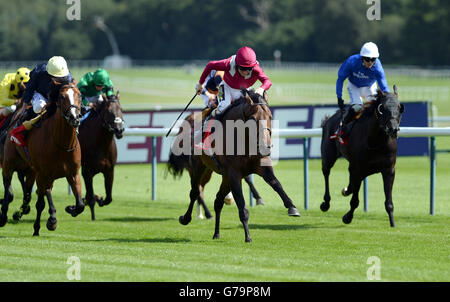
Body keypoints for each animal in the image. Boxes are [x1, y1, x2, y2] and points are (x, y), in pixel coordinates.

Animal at [0, 82, 85, 236]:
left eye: (79, 95)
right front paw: (47, 223)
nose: (74, 117)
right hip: (9, 163)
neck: (61, 144)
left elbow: (80, 204)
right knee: (8, 188)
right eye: (62, 97)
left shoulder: (73, 173)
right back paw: (3, 216)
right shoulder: (43, 173)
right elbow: (40, 202)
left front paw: (70, 208)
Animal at [171, 88, 300, 242]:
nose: (266, 146)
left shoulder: (260, 166)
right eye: (253, 119)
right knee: (195, 191)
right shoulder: (234, 174)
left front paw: (292, 207)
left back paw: (216, 233)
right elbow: (242, 204)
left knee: (218, 200)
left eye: (270, 116)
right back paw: (187, 218)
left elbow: (276, 183)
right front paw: (248, 236)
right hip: (199, 168)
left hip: (224, 177)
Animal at [320, 86, 404, 225]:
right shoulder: (360, 168)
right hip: (328, 155)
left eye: (400, 108)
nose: (393, 129)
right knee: (326, 172)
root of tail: (330, 118)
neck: (375, 141)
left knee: (350, 176)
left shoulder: (389, 169)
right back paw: (326, 203)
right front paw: (347, 217)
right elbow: (355, 201)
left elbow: (389, 202)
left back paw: (346, 190)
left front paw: (392, 223)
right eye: (382, 108)